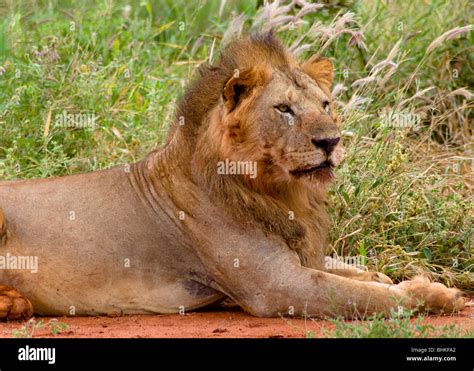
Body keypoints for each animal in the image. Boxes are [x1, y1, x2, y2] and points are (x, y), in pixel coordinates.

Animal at [0, 33, 464, 322]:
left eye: (326, 104)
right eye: (284, 109)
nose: (331, 141)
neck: (282, 194)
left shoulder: (300, 257)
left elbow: (355, 272)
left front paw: (391, 276)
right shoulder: (277, 286)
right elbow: (361, 296)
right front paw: (436, 294)